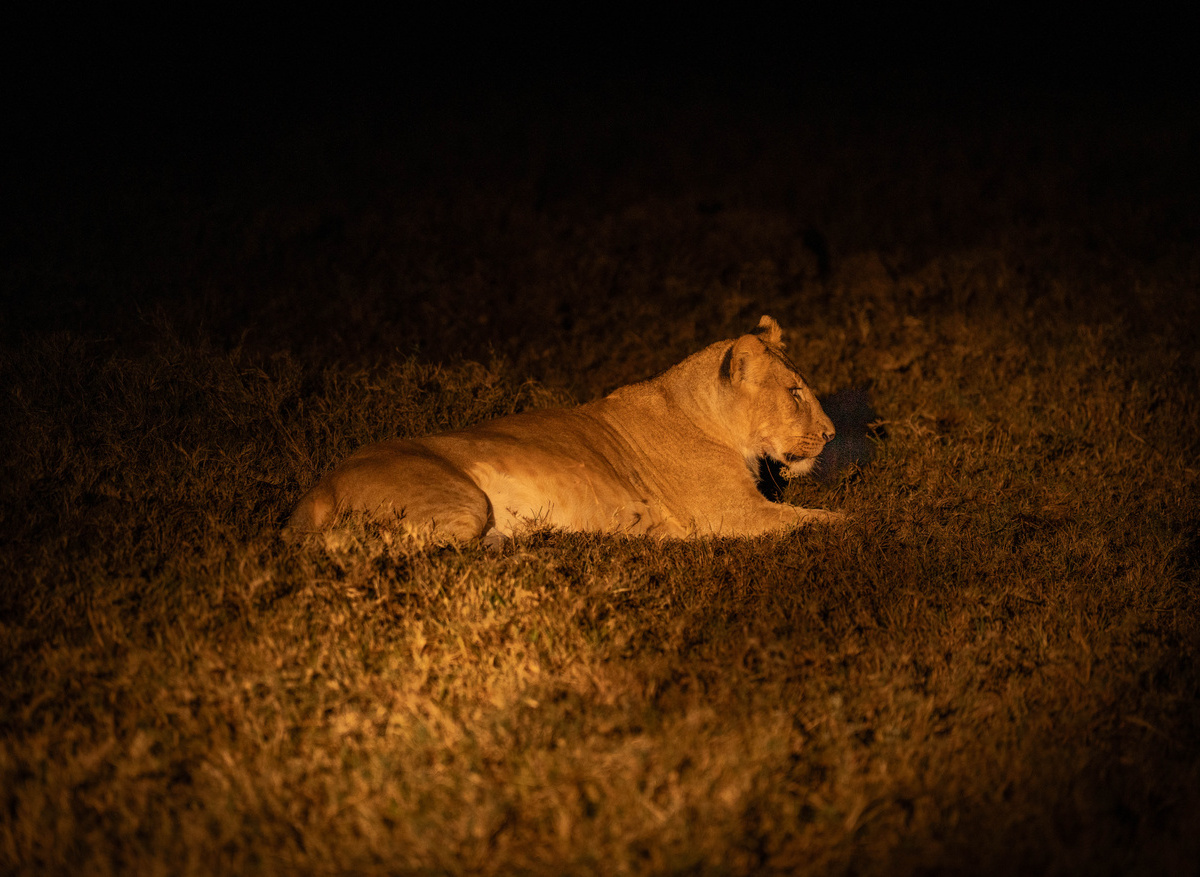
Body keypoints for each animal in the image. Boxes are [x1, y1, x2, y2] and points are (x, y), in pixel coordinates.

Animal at [285, 315, 842, 542]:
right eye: (795, 392)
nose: (833, 434)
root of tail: (316, 489)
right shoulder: (732, 515)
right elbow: (822, 520)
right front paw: (861, 526)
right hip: (460, 502)